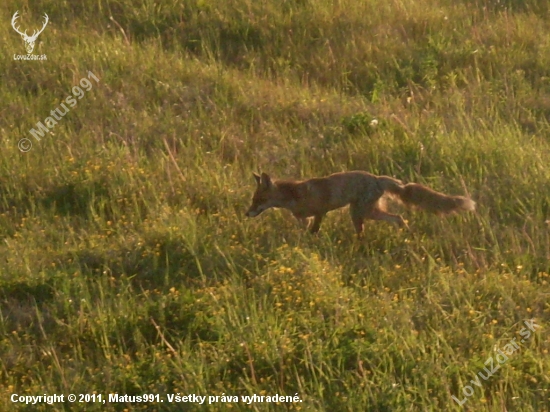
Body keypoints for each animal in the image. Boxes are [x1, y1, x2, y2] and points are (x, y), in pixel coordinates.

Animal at [244, 171, 476, 235]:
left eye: (258, 200)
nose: (247, 214)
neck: (295, 195)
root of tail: (377, 178)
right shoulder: (303, 218)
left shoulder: (320, 212)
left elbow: (313, 232)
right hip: (368, 212)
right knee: (398, 218)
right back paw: (405, 234)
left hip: (359, 213)